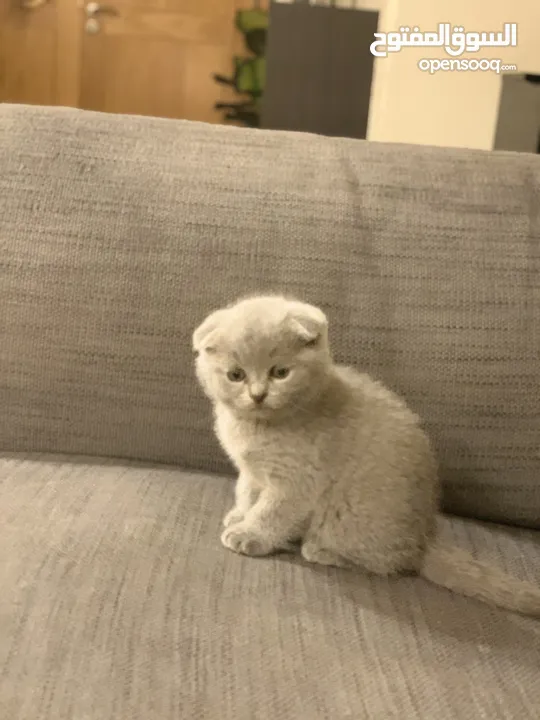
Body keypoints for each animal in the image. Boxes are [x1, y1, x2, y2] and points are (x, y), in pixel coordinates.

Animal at [194, 296, 540, 616]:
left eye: (280, 372)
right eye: (235, 375)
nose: (257, 395)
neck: (258, 426)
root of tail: (425, 538)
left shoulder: (297, 480)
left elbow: (272, 512)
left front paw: (249, 533)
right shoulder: (251, 471)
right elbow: (247, 491)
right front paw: (240, 514)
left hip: (348, 518)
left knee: (389, 562)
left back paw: (320, 550)